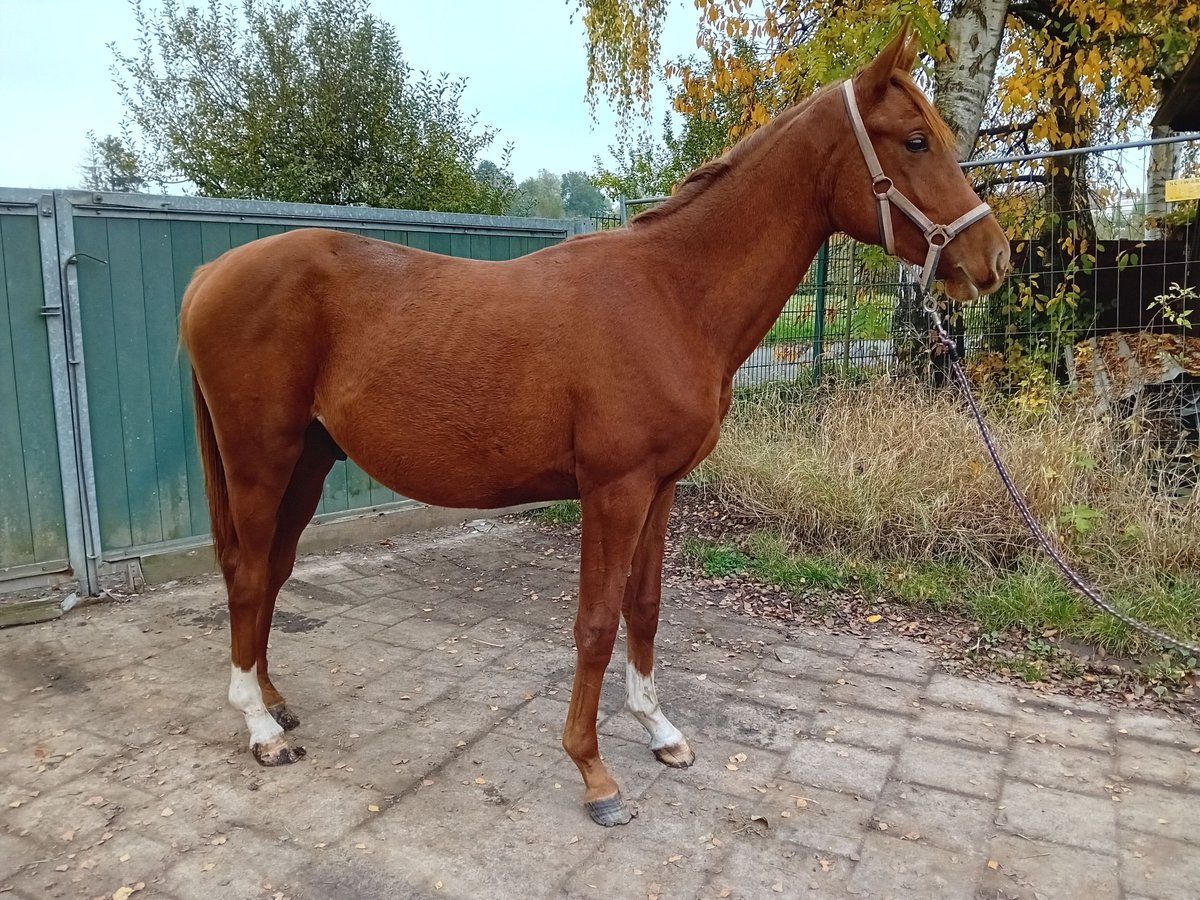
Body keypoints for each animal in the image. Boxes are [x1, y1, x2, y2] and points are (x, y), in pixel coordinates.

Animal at [175, 24, 1003, 830]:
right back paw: (260, 729)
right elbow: (597, 622)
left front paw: (660, 731)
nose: (991, 258)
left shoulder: (659, 489)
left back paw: (274, 703)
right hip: (261, 459)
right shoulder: (614, 490)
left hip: (308, 461)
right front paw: (594, 773)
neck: (670, 294)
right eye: (915, 141)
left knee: (273, 571)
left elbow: (645, 607)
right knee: (247, 574)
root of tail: (209, 274)